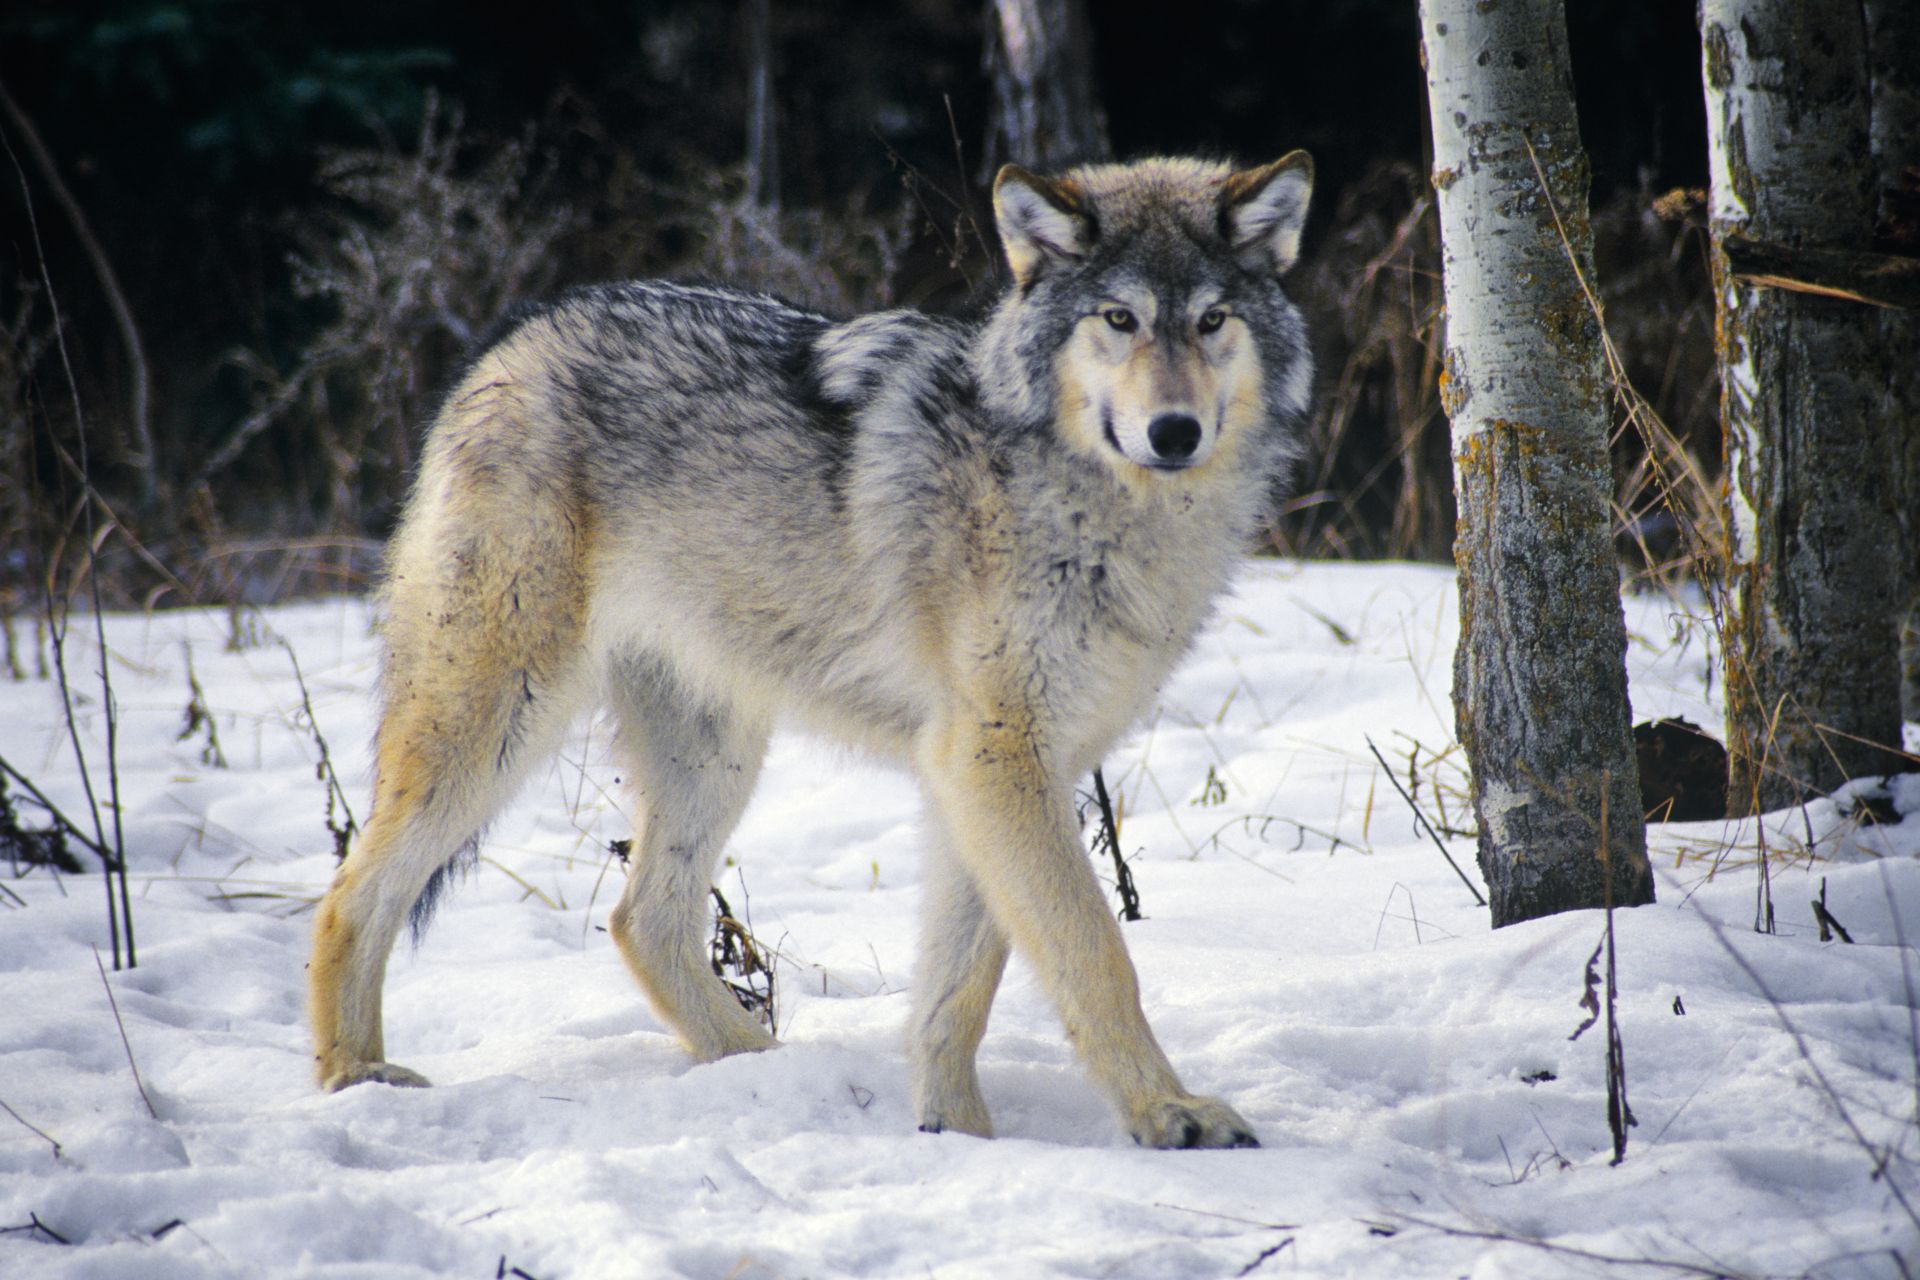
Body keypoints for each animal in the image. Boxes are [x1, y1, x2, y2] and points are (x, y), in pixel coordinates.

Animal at [308, 151, 1314, 1149]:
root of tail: (513, 338)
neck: (1100, 508)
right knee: (351, 890)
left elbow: (961, 988)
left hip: (712, 756)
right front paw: (1170, 1115)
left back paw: (758, 1066)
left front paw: (956, 1134)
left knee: (642, 920)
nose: (1175, 432)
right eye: (1120, 319)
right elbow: (1095, 952)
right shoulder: (997, 756)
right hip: (497, 720)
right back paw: (355, 1077)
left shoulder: (995, 769)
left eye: (1211, 321)